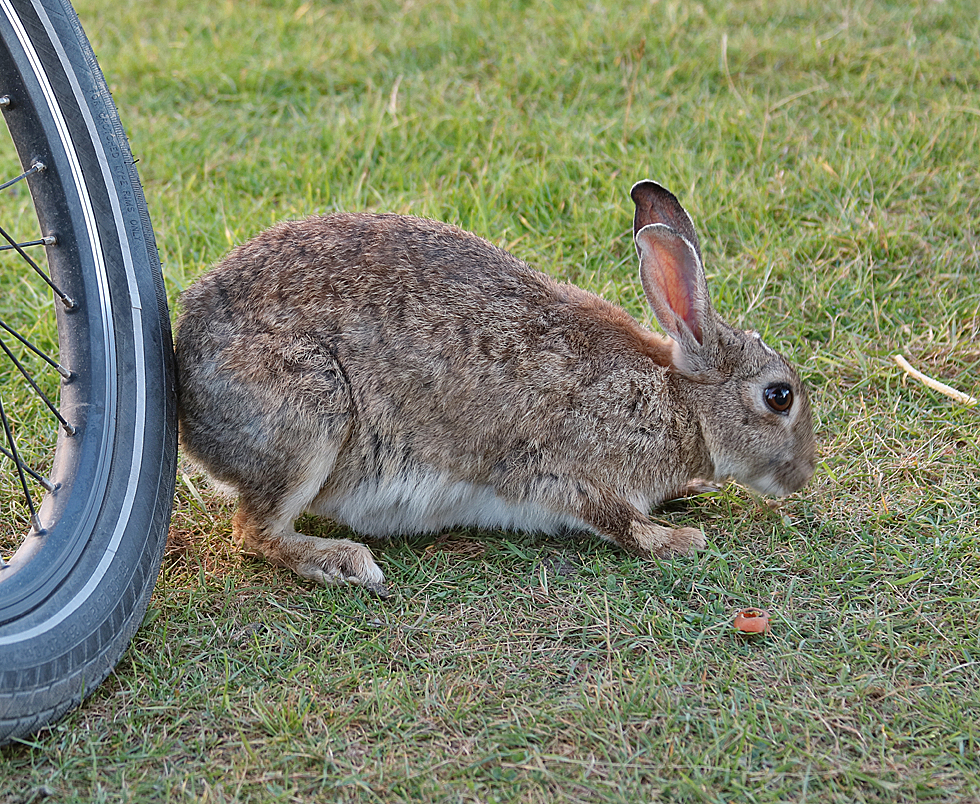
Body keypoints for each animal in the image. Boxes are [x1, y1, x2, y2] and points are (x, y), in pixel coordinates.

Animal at [172, 182, 816, 596]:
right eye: (778, 396)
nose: (803, 475)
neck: (679, 402)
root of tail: (190, 411)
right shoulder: (564, 466)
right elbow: (615, 519)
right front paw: (678, 540)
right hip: (309, 421)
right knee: (255, 531)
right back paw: (343, 562)